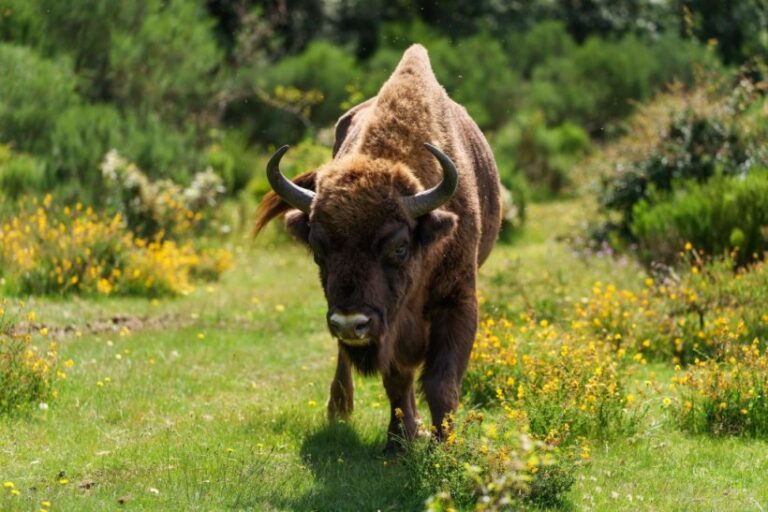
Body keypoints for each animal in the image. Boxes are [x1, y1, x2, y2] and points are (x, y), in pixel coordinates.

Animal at [255, 44, 501, 450]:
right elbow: (397, 379)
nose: (351, 322)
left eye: (399, 248)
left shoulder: (458, 300)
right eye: (318, 249)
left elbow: (441, 382)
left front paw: (443, 444)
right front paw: (398, 442)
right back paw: (340, 409)